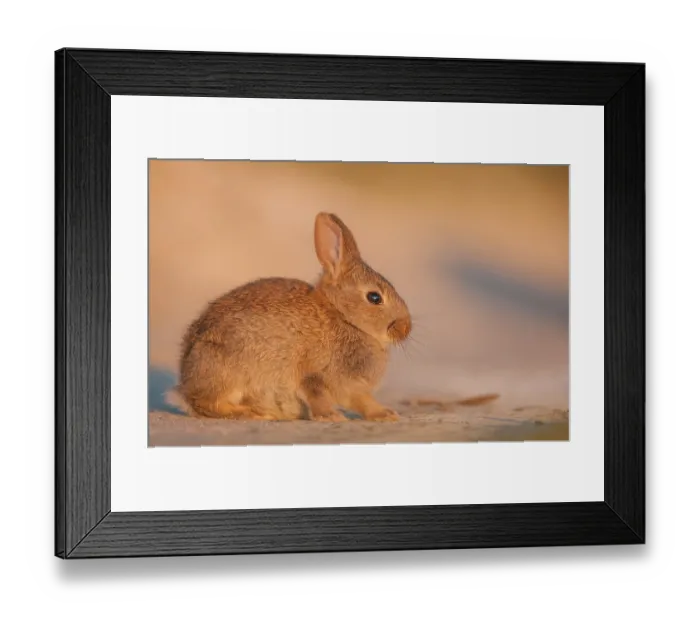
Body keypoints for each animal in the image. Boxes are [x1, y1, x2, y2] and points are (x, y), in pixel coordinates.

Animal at [176, 212, 413, 422]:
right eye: (374, 297)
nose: (405, 328)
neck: (343, 316)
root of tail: (185, 379)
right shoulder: (315, 373)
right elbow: (318, 395)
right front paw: (332, 417)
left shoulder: (350, 388)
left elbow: (363, 402)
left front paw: (386, 414)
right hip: (229, 369)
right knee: (207, 404)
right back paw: (254, 414)